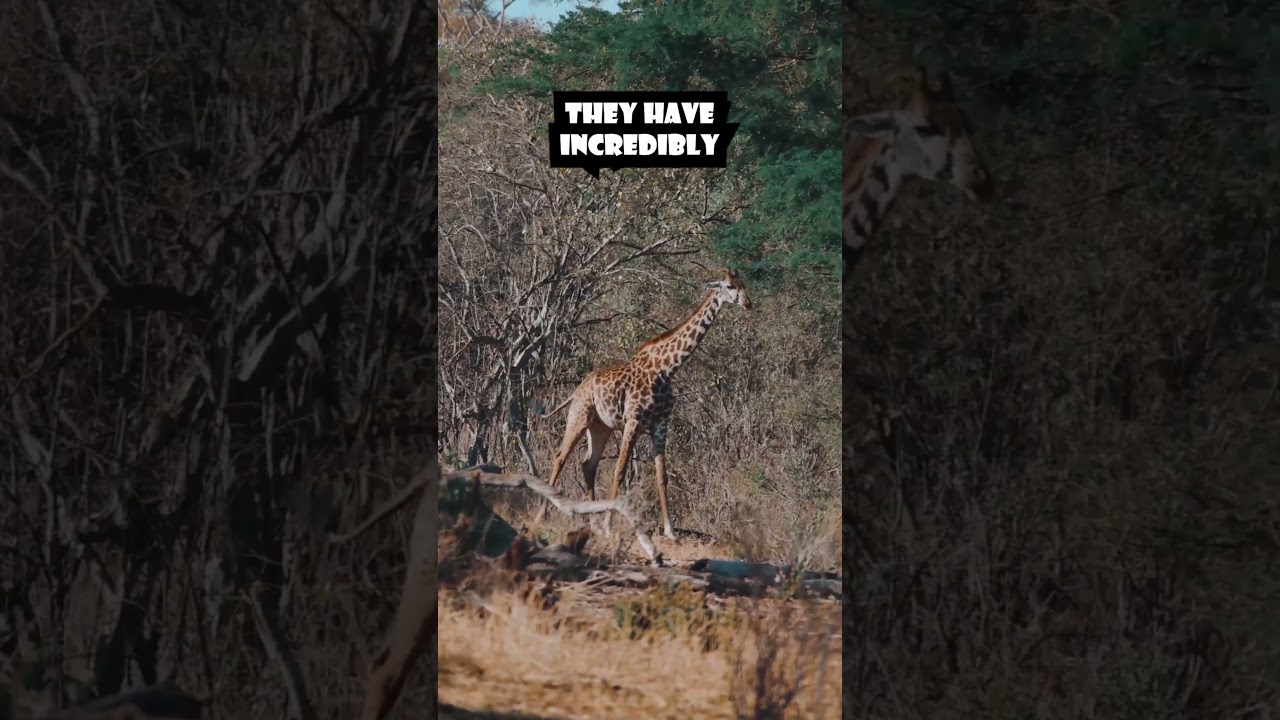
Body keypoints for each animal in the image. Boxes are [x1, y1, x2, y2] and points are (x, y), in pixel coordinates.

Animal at [543, 268, 752, 539]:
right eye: (729, 286)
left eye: (743, 284)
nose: (748, 303)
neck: (667, 369)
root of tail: (577, 390)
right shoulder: (633, 421)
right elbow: (620, 470)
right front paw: (610, 525)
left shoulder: (661, 423)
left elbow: (662, 476)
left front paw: (670, 530)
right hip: (579, 417)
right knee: (560, 457)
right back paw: (542, 515)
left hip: (601, 427)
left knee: (588, 464)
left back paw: (592, 519)